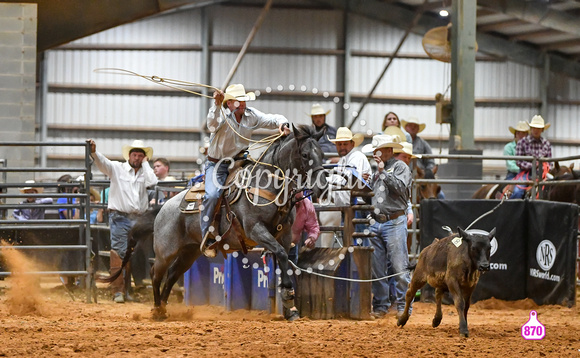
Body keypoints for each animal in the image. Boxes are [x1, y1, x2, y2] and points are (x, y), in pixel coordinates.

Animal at [103, 125, 326, 318]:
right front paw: (288, 294)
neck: (266, 185)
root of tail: (164, 207)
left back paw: (164, 310)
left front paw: (290, 308)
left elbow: (284, 259)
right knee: (156, 274)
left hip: (189, 252)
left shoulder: (285, 234)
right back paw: (157, 310)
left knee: (173, 275)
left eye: (322, 155)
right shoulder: (255, 229)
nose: (322, 188)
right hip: (165, 251)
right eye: (305, 155)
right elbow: (280, 254)